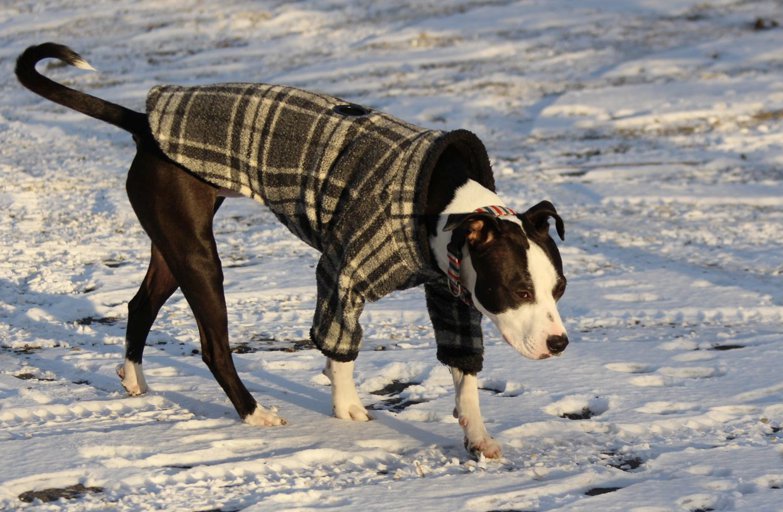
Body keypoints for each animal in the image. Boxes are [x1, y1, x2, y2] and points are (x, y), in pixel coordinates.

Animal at [15, 43, 568, 460]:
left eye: (559, 289)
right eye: (519, 289)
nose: (560, 343)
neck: (443, 203)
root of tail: (144, 124)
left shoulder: (452, 293)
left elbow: (463, 372)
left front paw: (478, 437)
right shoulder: (342, 274)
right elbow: (340, 349)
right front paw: (347, 408)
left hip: (172, 245)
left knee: (139, 305)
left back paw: (133, 379)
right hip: (198, 258)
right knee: (213, 347)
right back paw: (253, 412)